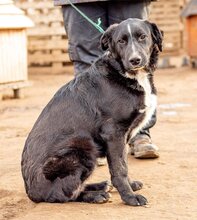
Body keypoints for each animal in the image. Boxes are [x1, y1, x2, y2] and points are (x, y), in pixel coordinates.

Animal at [21, 18, 163, 206]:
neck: (125, 74)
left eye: (143, 37)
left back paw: (101, 186)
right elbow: (120, 169)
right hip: (82, 148)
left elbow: (124, 162)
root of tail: (30, 191)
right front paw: (130, 197)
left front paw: (130, 186)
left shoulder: (122, 137)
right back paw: (95, 195)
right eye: (121, 41)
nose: (135, 60)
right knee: (62, 195)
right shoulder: (114, 133)